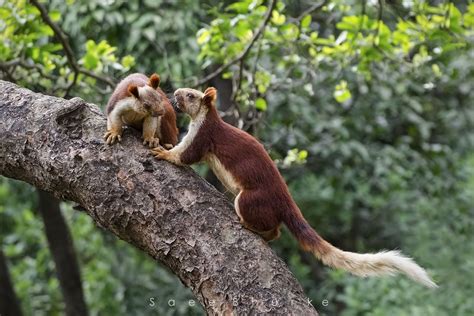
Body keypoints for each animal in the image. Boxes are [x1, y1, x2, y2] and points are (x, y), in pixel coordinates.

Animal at [152, 86, 436, 288]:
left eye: (191, 94)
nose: (175, 93)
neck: (205, 119)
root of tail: (285, 201)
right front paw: (163, 146)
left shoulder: (203, 136)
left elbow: (185, 155)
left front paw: (162, 152)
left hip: (249, 199)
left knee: (272, 228)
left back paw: (249, 226)